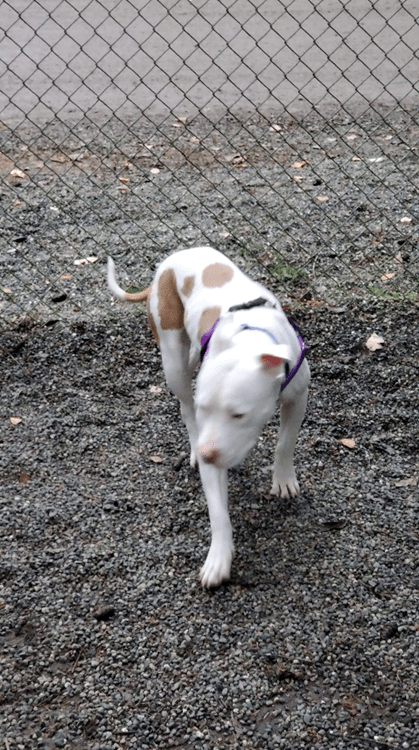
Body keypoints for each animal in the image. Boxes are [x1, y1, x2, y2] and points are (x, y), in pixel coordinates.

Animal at [108, 247, 310, 587]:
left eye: (239, 414)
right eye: (207, 409)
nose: (205, 454)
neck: (248, 339)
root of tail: (166, 264)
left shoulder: (298, 395)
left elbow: (286, 442)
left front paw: (283, 480)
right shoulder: (211, 439)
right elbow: (217, 511)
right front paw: (218, 558)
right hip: (173, 358)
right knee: (184, 405)